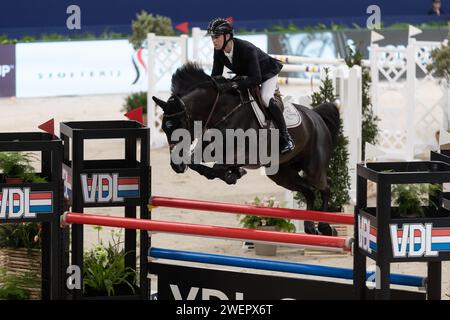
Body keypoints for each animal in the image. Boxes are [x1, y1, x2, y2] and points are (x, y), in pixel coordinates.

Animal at [153, 62, 340, 236]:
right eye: (164, 128)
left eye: (180, 125)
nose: (176, 165)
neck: (222, 111)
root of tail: (316, 117)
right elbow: (197, 164)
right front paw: (232, 174)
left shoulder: (247, 154)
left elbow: (218, 167)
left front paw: (233, 174)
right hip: (282, 175)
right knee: (309, 192)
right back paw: (310, 226)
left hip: (313, 168)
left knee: (326, 186)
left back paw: (325, 226)